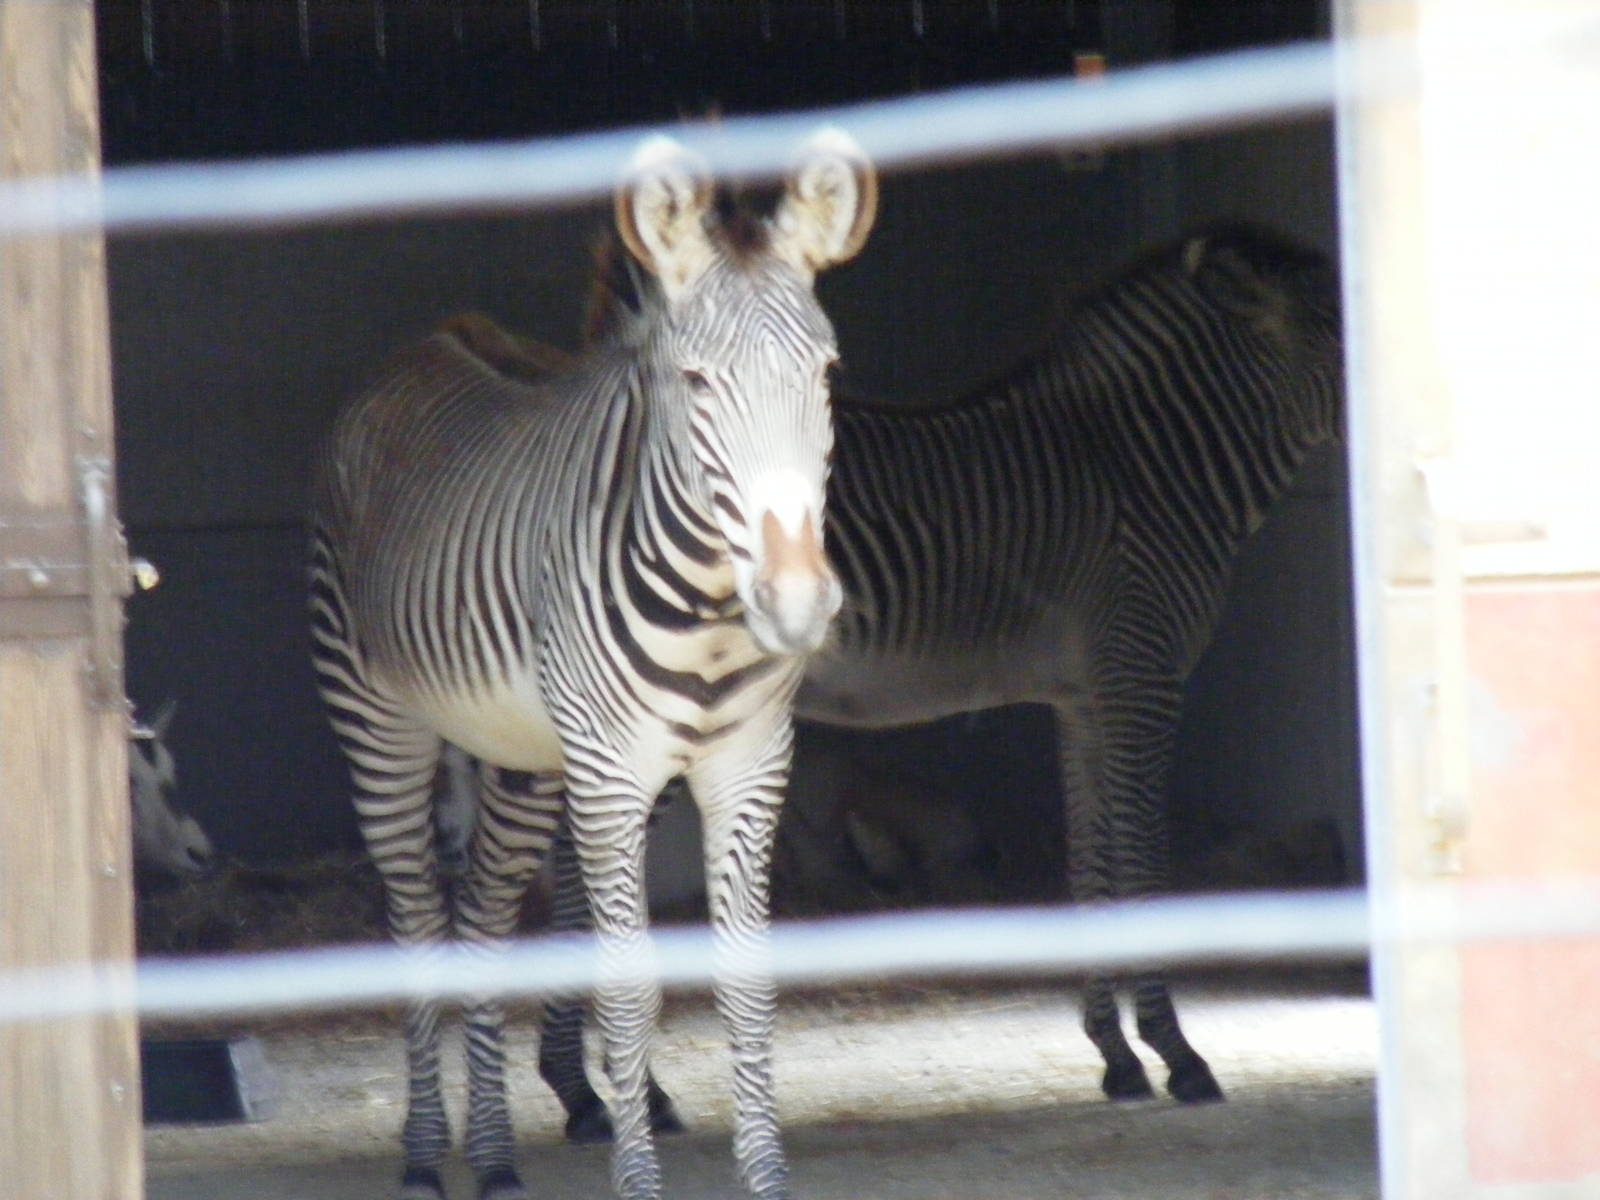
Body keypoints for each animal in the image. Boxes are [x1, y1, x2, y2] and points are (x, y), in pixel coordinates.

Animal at [309, 129, 876, 1200]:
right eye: (696, 383)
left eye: (826, 376)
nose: (795, 603)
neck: (708, 609)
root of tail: (433, 340)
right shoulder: (612, 777)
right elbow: (629, 991)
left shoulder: (750, 766)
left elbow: (747, 984)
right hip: (378, 723)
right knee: (417, 915)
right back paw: (424, 1154)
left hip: (522, 759)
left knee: (484, 916)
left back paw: (493, 1156)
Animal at [502, 223, 1342, 1127]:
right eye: (1342, 331)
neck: (1151, 470)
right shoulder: (1139, 679)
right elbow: (1143, 865)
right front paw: (1177, 1052)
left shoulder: (1087, 698)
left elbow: (1094, 862)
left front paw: (1116, 1054)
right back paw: (621, 1093)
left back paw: (587, 1086)